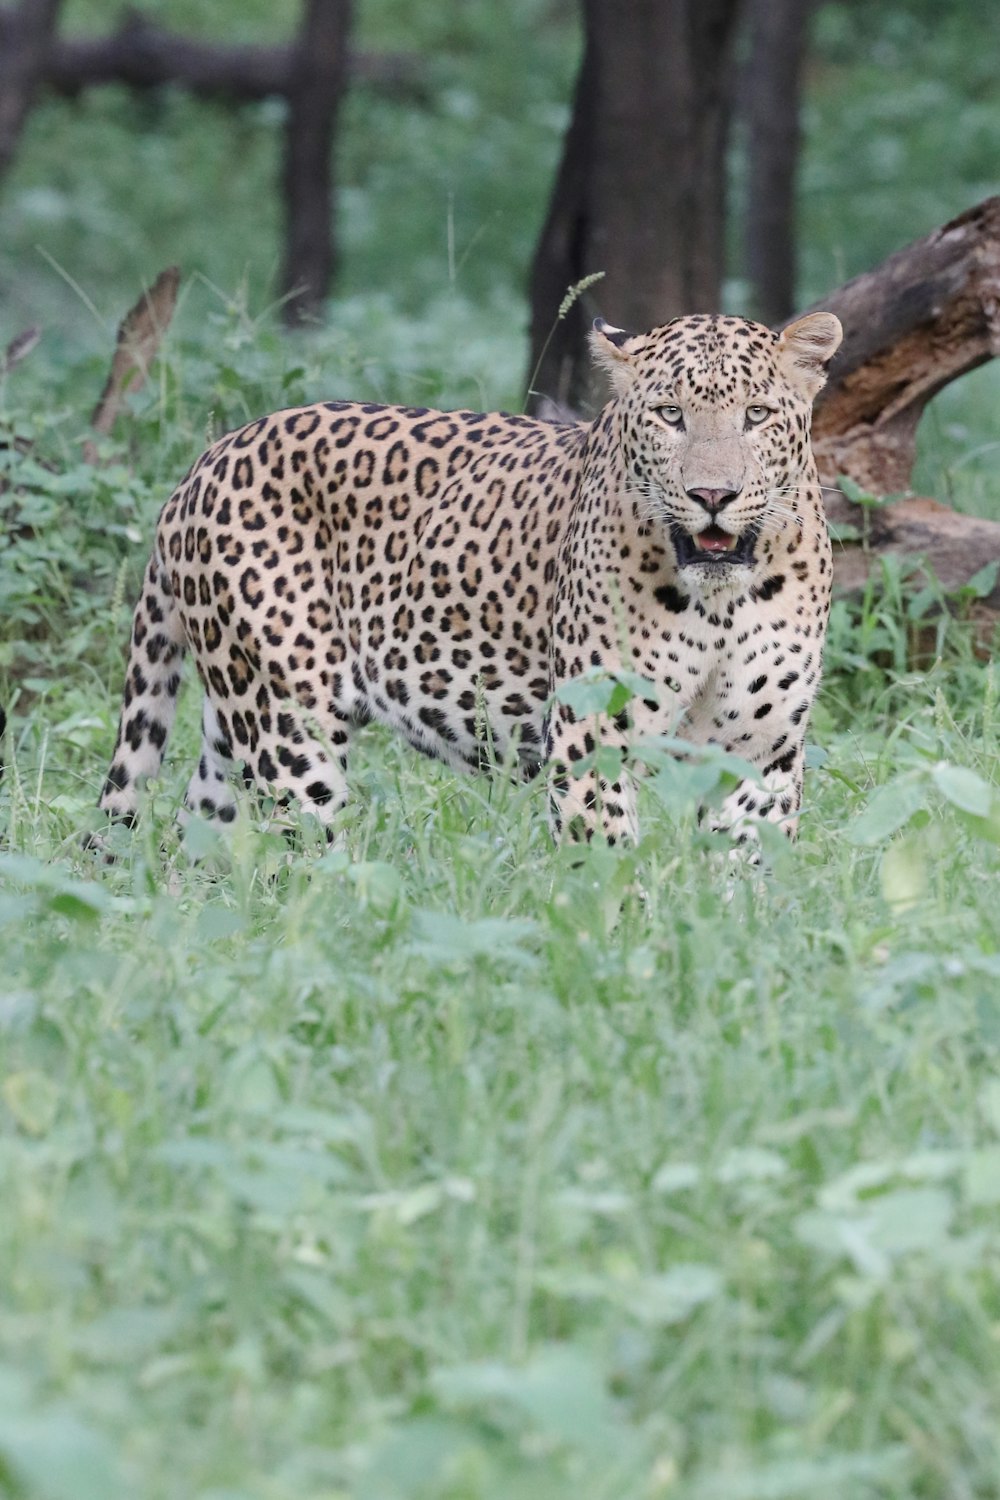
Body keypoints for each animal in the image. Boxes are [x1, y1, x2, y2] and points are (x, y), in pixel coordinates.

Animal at [95, 307, 845, 846]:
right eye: (669, 415)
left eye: (756, 415)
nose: (712, 494)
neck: (720, 602)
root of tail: (205, 461)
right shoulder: (590, 739)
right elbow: (604, 870)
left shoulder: (761, 752)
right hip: (289, 723)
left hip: (233, 719)